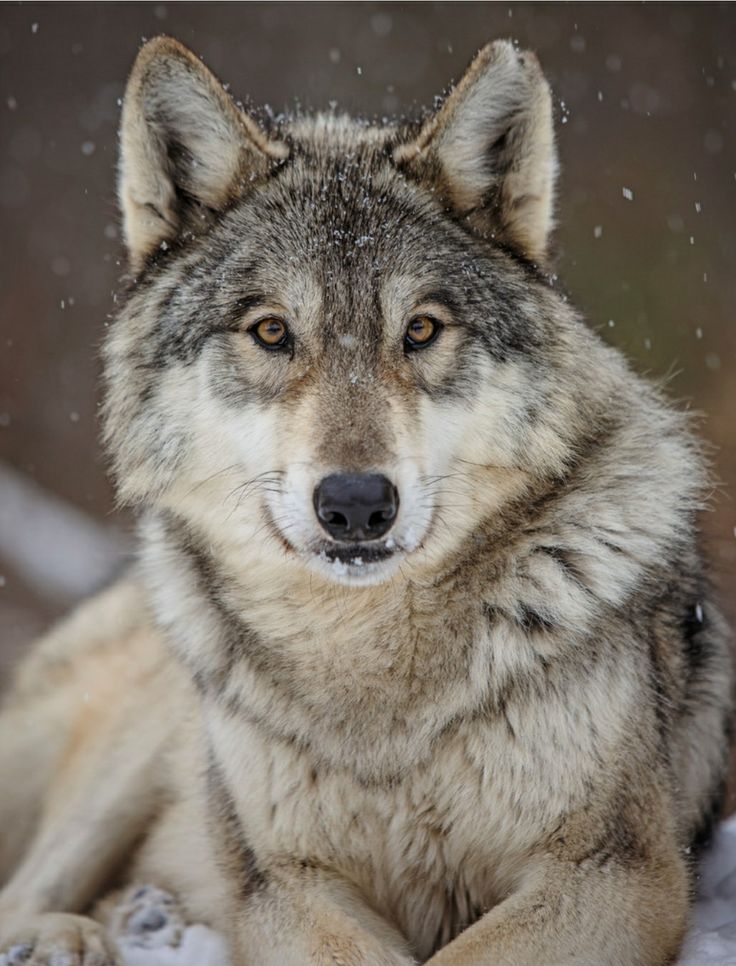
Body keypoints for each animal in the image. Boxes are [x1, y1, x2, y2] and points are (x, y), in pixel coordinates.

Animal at [0, 36, 732, 966]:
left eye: (420, 330)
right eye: (272, 331)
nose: (354, 504)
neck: (375, 674)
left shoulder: (619, 870)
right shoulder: (281, 884)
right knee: (22, 890)